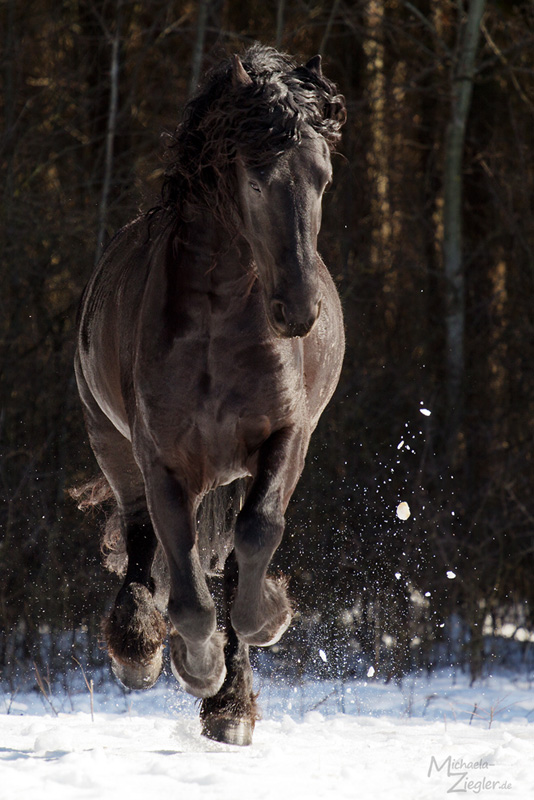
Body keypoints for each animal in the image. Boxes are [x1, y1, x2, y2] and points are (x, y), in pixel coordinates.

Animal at [75, 42, 348, 744]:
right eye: (254, 181)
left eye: (323, 178)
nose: (298, 310)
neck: (218, 325)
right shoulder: (165, 459)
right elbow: (189, 591)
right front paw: (196, 667)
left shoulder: (286, 436)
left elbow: (256, 536)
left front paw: (269, 617)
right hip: (111, 442)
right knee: (143, 537)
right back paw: (140, 651)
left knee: (229, 551)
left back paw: (232, 706)